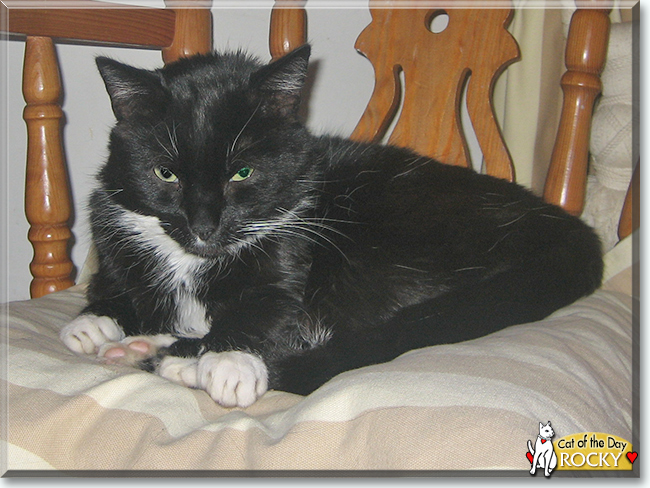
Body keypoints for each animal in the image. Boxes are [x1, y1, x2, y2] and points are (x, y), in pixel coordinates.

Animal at [60, 45, 604, 408]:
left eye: (243, 172)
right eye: (165, 174)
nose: (204, 226)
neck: (190, 259)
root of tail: (567, 229)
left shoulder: (290, 250)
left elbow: (267, 309)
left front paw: (229, 361)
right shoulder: (110, 222)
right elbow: (115, 283)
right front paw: (95, 320)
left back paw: (180, 360)